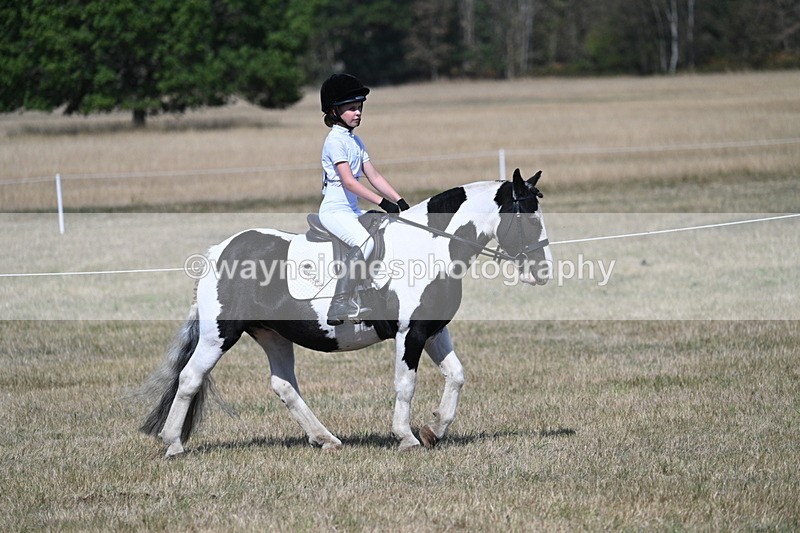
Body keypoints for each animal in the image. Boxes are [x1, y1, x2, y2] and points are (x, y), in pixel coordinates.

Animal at [140, 168, 552, 456]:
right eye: (530, 218)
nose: (543, 271)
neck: (430, 247)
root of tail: (218, 252)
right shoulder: (410, 333)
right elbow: (406, 384)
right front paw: (406, 437)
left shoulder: (431, 330)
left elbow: (457, 376)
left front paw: (435, 430)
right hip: (219, 334)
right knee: (190, 377)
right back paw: (172, 443)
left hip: (273, 335)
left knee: (284, 386)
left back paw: (326, 438)